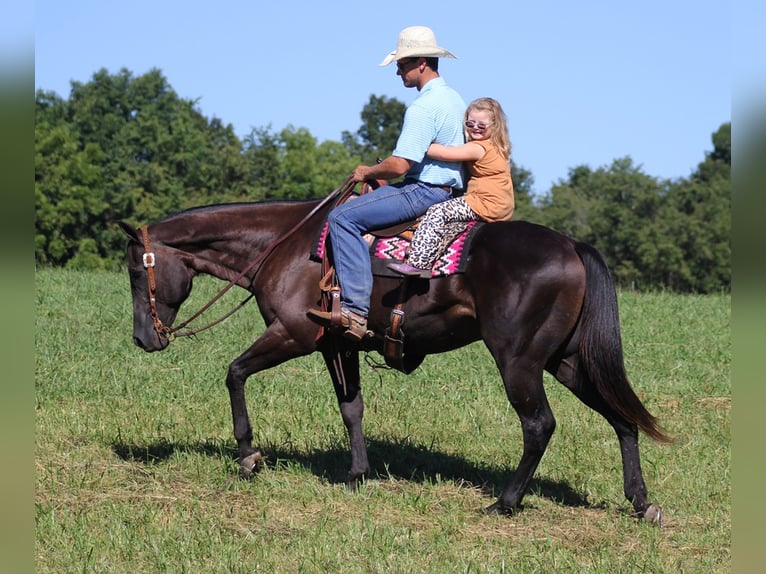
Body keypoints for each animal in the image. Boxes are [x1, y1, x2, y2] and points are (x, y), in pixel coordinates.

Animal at [120, 191, 672, 524]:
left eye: (134, 271)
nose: (144, 339)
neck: (285, 247)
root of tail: (572, 245)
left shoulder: (294, 334)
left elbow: (234, 373)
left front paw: (248, 456)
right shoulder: (338, 344)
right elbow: (351, 409)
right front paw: (358, 473)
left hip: (518, 360)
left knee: (539, 425)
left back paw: (506, 501)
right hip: (568, 361)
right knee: (621, 416)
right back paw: (640, 501)